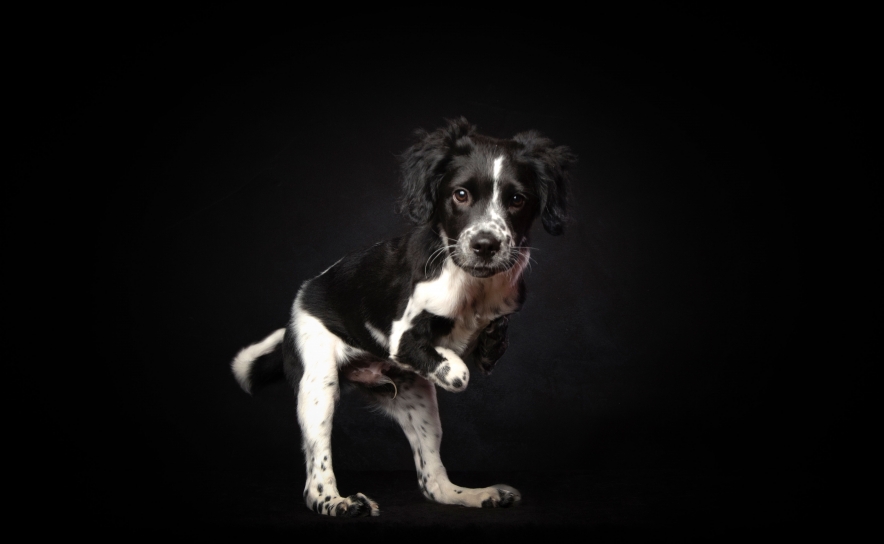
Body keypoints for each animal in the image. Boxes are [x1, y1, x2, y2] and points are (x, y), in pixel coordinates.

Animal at [231, 117, 575, 517]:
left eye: (517, 200)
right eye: (460, 195)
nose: (485, 245)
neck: (473, 284)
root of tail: (300, 302)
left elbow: (485, 346)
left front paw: (488, 338)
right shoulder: (403, 339)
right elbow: (458, 371)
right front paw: (453, 358)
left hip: (418, 404)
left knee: (433, 483)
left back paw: (476, 494)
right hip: (318, 388)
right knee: (314, 480)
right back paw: (339, 503)